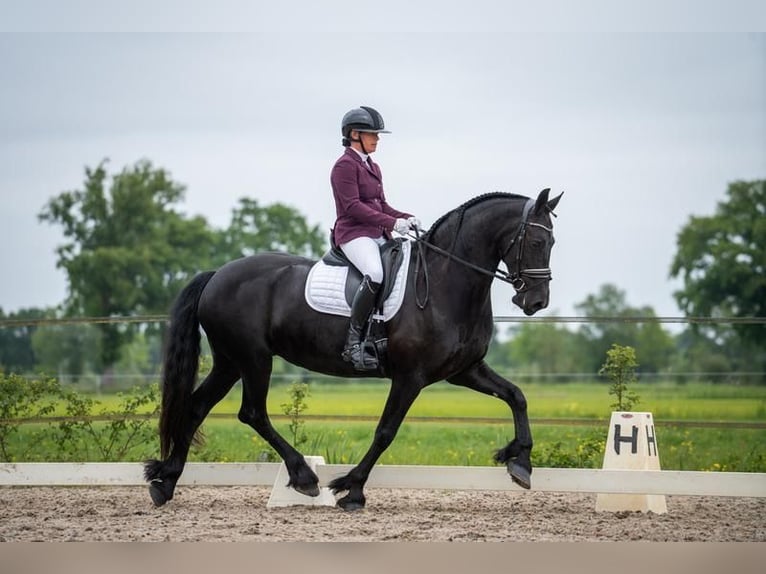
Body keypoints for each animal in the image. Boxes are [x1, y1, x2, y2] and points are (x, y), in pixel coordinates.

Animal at [144, 188, 562, 510]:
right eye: (537, 242)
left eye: (552, 243)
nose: (536, 302)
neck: (446, 282)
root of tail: (218, 274)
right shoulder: (411, 377)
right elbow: (385, 432)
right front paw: (352, 489)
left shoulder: (465, 370)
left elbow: (517, 396)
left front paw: (520, 462)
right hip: (254, 359)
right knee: (252, 413)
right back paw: (304, 476)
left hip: (230, 362)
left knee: (196, 407)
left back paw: (165, 482)